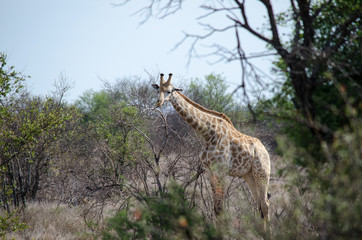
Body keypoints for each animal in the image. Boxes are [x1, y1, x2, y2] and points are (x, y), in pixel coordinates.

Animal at [151, 73, 270, 229]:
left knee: (265, 204)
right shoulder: (209, 171)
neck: (208, 133)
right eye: (158, 90)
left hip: (261, 173)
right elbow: (215, 208)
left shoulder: (220, 171)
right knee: (259, 204)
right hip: (248, 175)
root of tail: (265, 150)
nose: (158, 103)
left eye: (169, 91)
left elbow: (220, 208)